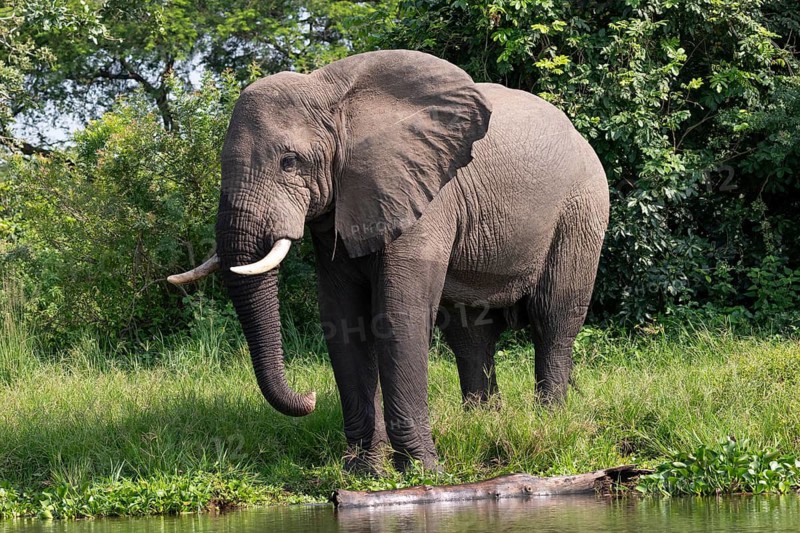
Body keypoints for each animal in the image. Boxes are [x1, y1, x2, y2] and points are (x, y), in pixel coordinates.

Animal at [168, 50, 609, 473]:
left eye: (289, 162)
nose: (309, 397)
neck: (332, 96)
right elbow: (342, 317)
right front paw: (365, 471)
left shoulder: (425, 192)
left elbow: (399, 315)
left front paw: (423, 471)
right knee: (470, 334)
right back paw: (483, 422)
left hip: (582, 210)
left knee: (552, 318)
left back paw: (549, 421)